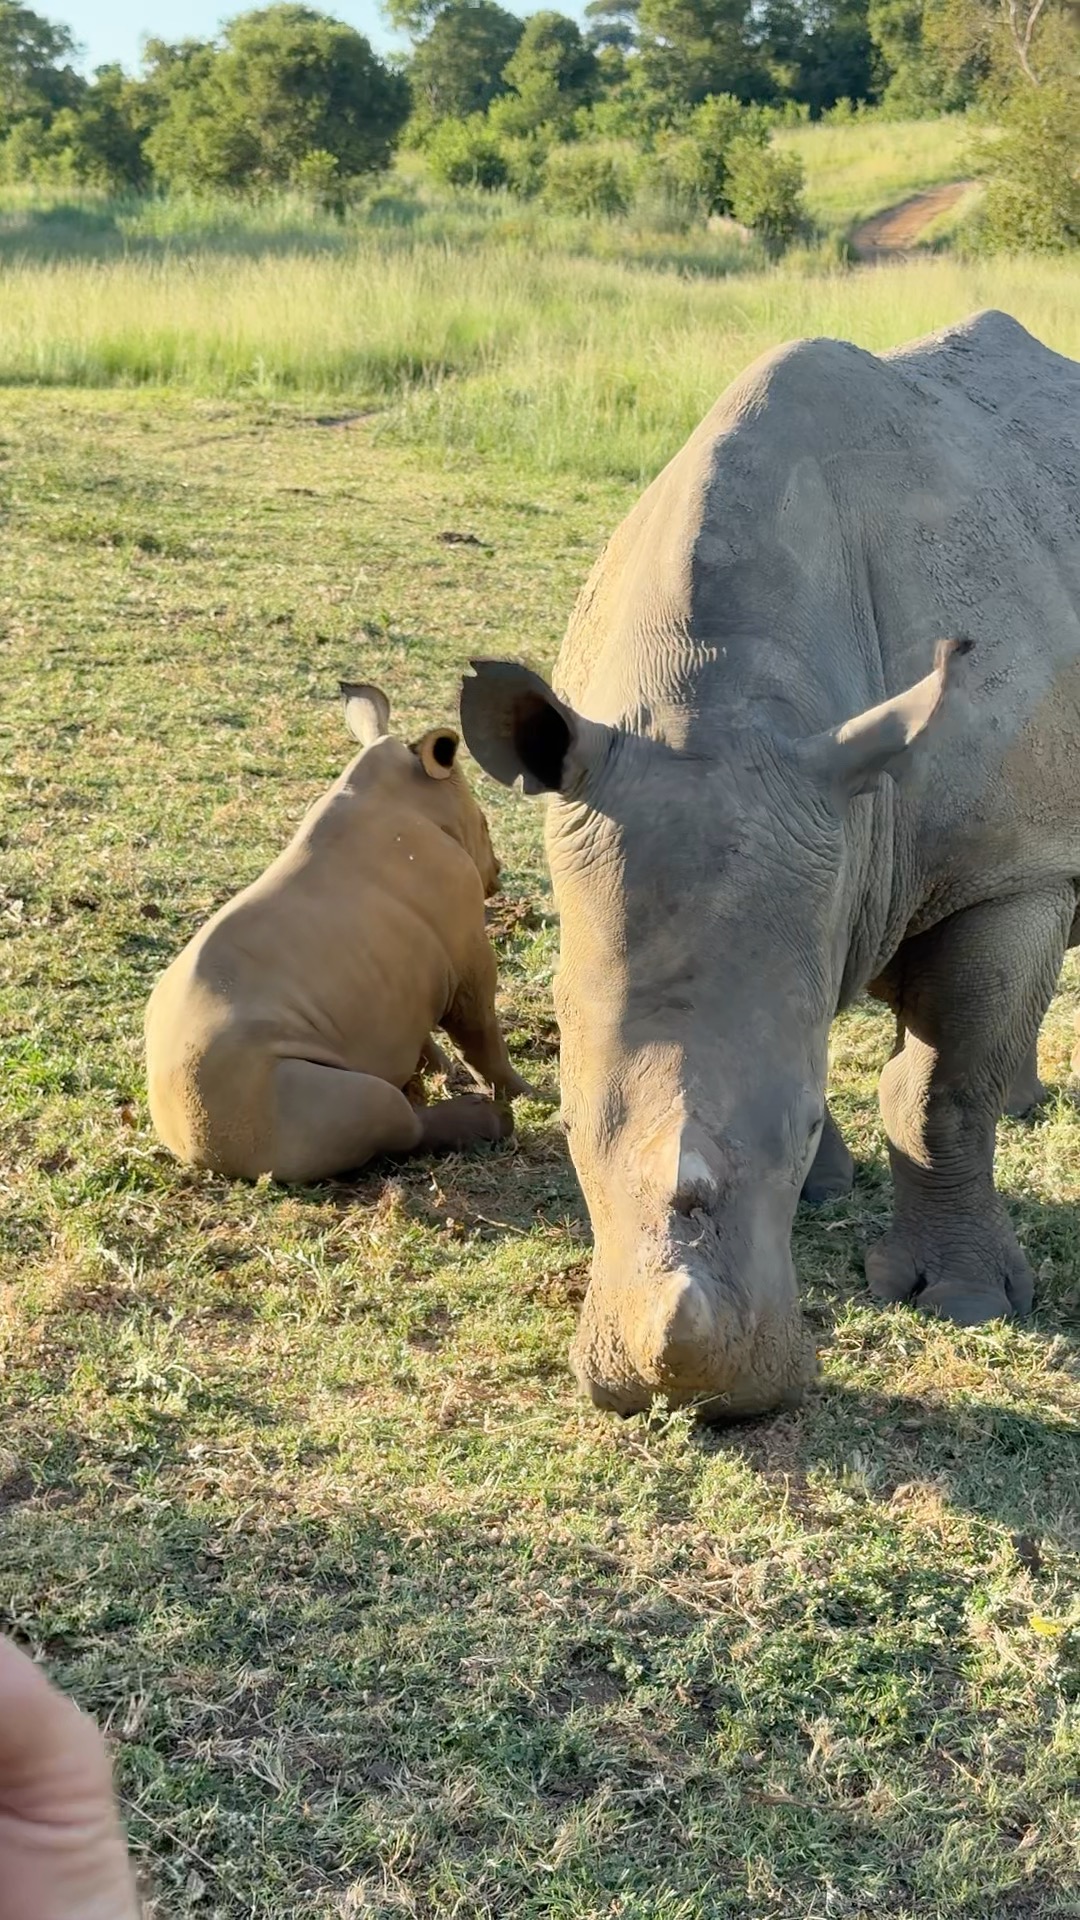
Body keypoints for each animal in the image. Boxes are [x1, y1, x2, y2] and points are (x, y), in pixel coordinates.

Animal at [145, 684, 531, 1182]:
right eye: (484, 824)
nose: (497, 873)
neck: (409, 793)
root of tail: (197, 1150)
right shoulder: (466, 953)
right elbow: (481, 1035)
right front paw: (527, 1094)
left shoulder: (403, 981)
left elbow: (425, 1036)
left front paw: (437, 1072)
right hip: (270, 1096)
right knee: (380, 1108)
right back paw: (492, 1122)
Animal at [460, 311, 1080, 1419]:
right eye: (564, 1122)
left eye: (791, 1132)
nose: (692, 1397)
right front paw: (834, 1190)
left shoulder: (1009, 866)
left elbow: (943, 1089)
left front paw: (968, 1303)